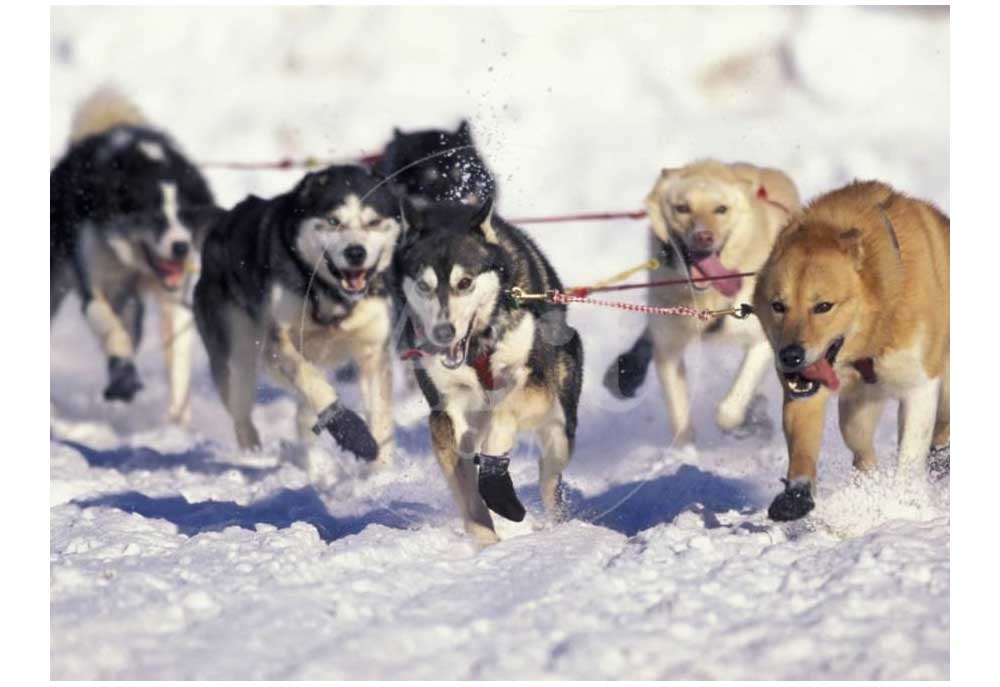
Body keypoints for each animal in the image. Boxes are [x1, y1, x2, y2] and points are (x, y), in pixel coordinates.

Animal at [752, 180, 948, 520]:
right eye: (778, 306)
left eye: (823, 306)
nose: (790, 356)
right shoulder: (806, 390)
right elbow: (803, 444)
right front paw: (796, 494)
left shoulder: (921, 386)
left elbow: (910, 455)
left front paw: (906, 503)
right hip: (856, 413)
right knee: (862, 451)